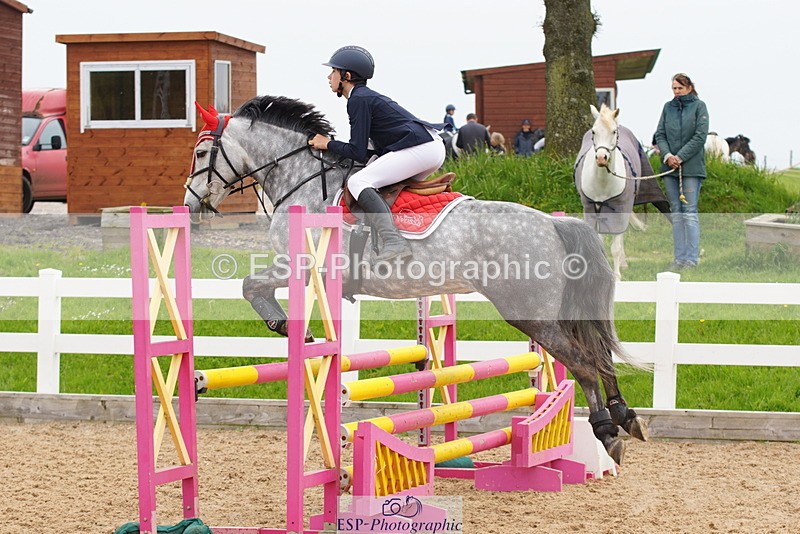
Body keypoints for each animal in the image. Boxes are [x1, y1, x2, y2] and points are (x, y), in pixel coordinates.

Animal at [183, 96, 649, 464]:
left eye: (202, 152)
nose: (189, 204)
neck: (301, 180)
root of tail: (556, 224)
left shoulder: (297, 265)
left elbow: (249, 285)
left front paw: (282, 324)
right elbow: (254, 286)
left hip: (532, 316)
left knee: (585, 363)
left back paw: (607, 432)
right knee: (600, 357)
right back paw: (626, 417)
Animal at [575, 104, 670, 280]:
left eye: (613, 131)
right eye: (593, 131)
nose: (601, 158)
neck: (602, 181)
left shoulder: (620, 208)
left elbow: (616, 246)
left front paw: (617, 275)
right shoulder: (592, 208)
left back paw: (623, 263)